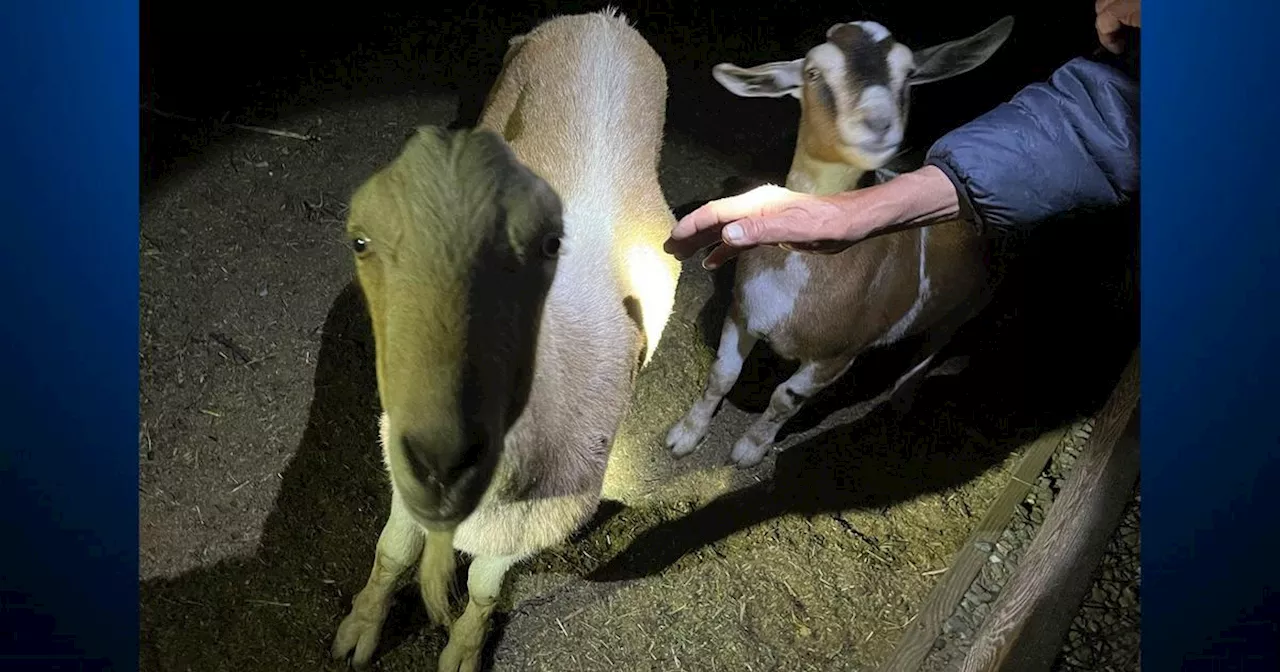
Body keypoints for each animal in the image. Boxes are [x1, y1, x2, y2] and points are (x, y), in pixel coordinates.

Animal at [335, 10, 686, 670]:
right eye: (360, 243)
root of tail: (604, 21)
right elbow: (393, 553)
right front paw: (362, 626)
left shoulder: (523, 531)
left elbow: (482, 590)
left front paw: (463, 646)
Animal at [665, 17, 1013, 465]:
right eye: (813, 72)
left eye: (909, 74)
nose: (878, 124)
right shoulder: (742, 312)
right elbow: (721, 375)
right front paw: (685, 435)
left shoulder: (836, 357)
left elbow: (785, 399)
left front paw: (749, 450)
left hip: (969, 305)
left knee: (931, 349)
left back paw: (901, 399)